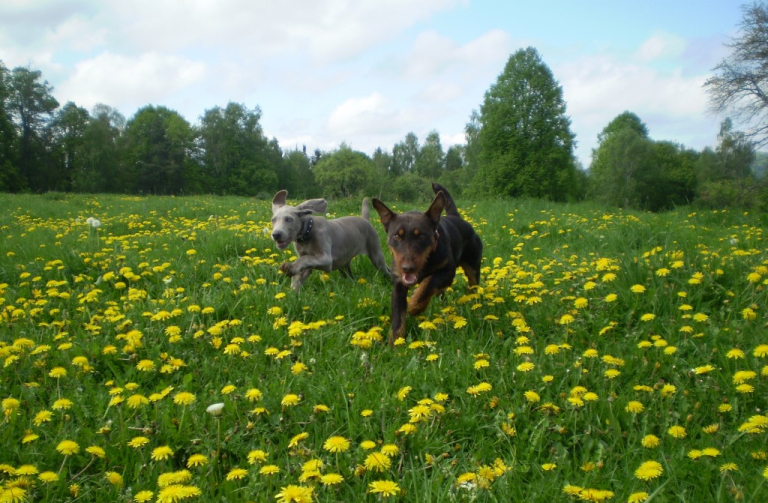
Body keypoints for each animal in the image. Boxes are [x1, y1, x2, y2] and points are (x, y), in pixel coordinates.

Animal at [370, 183, 480, 344]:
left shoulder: (448, 272)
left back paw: (474, 302)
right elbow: (398, 316)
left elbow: (428, 283)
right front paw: (395, 343)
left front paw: (415, 306)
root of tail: (456, 218)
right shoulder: (398, 284)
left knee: (473, 284)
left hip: (473, 266)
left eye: (421, 236)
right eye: (397, 236)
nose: (407, 268)